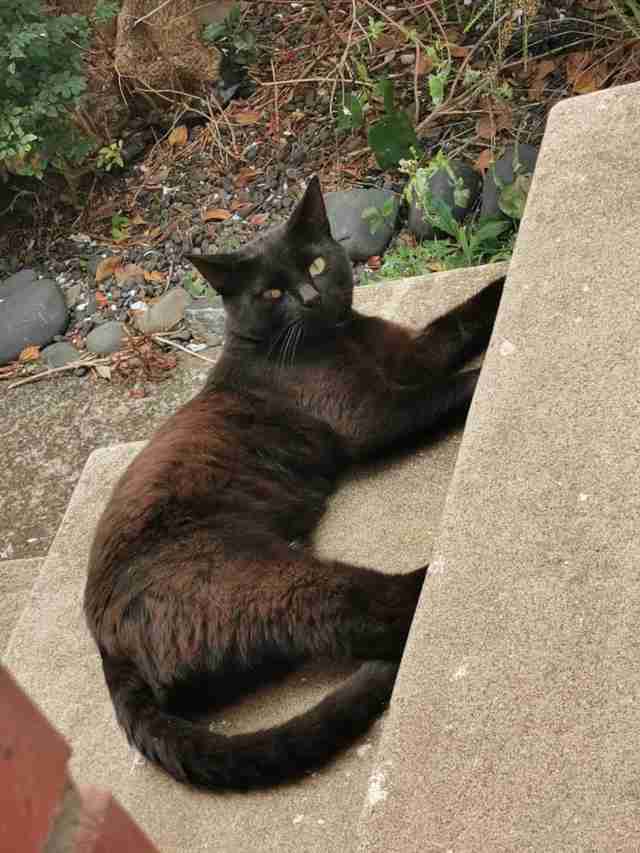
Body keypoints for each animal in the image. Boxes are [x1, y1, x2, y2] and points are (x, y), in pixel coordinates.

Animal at [84, 175, 504, 792]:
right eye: (272, 294)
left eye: (317, 263)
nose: (308, 296)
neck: (341, 338)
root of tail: (108, 650)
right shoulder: (374, 414)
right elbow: (458, 386)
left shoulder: (413, 353)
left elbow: (464, 317)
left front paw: (508, 281)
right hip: (271, 581)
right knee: (372, 613)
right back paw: (443, 570)